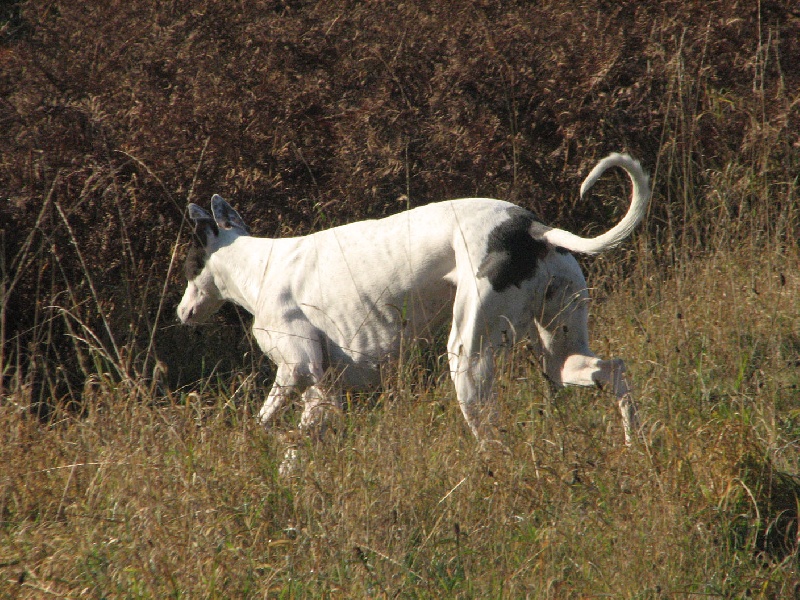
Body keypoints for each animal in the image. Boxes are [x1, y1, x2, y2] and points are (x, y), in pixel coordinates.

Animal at [177, 152, 648, 462]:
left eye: (187, 265)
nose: (180, 314)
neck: (258, 265)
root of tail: (529, 226)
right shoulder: (323, 397)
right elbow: (299, 446)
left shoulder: (296, 369)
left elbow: (264, 422)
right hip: (560, 350)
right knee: (613, 370)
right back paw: (633, 445)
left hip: (468, 357)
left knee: (492, 435)